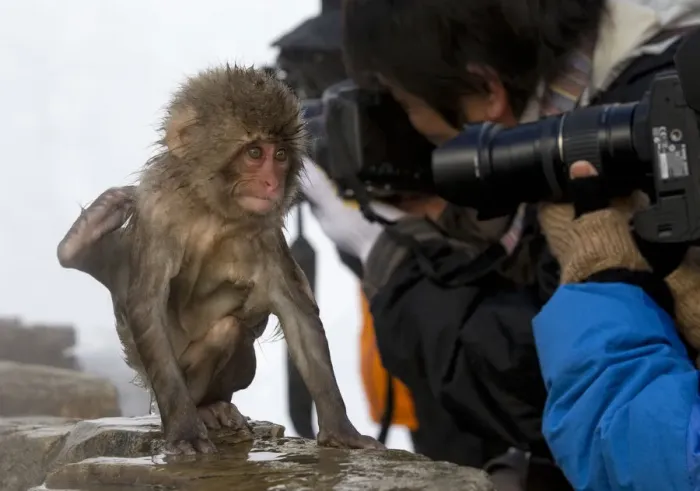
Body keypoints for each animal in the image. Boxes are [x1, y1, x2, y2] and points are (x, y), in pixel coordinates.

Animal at [57, 64, 383, 455]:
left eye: (280, 155)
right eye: (255, 153)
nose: (272, 184)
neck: (212, 211)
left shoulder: (265, 234)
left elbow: (298, 315)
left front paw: (340, 429)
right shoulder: (157, 213)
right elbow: (146, 305)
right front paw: (184, 429)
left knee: (231, 329)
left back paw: (213, 405)